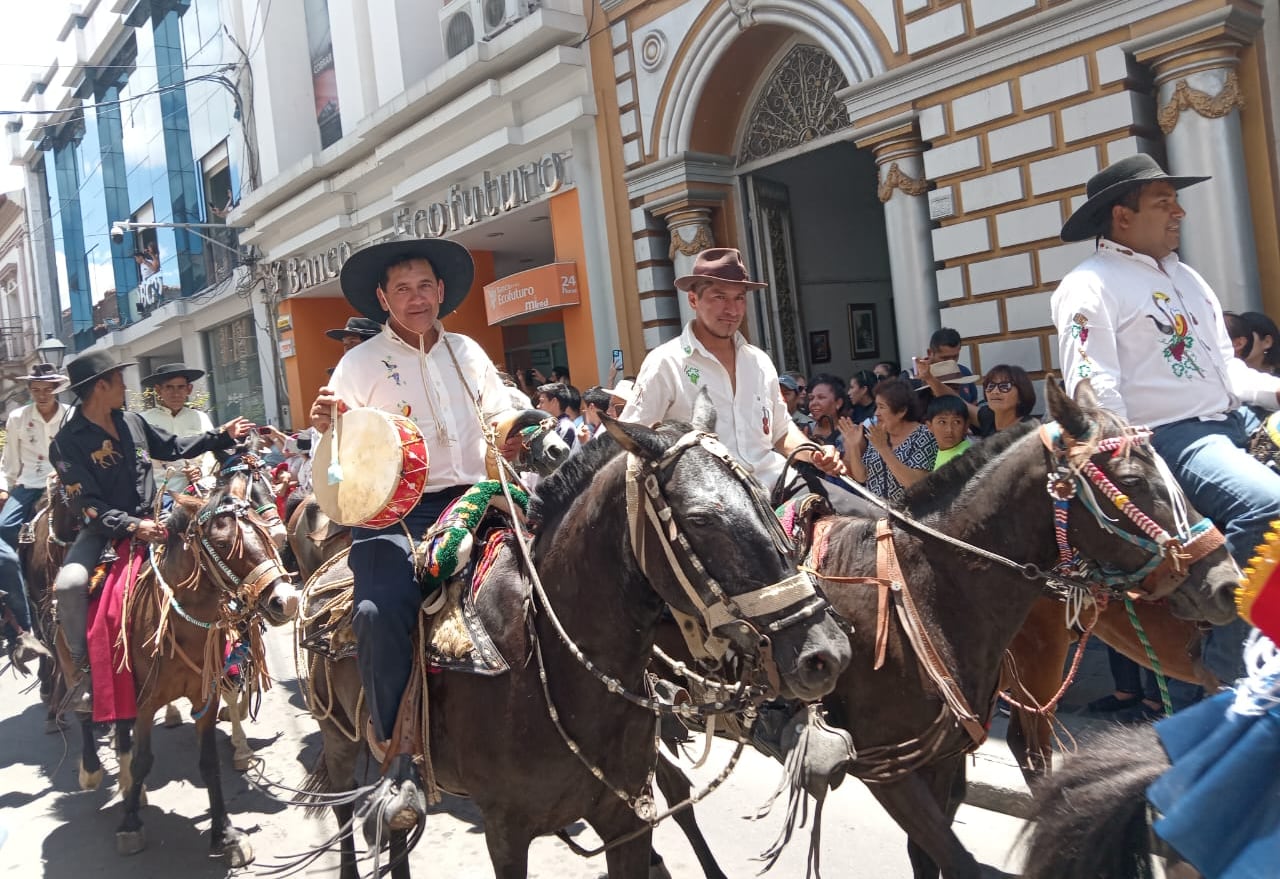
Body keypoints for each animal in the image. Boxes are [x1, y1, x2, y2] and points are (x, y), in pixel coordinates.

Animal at [300, 399, 855, 879]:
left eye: (765, 498)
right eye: (700, 519)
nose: (826, 653)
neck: (549, 666)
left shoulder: (628, 819)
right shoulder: (506, 832)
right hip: (340, 737)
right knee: (348, 812)